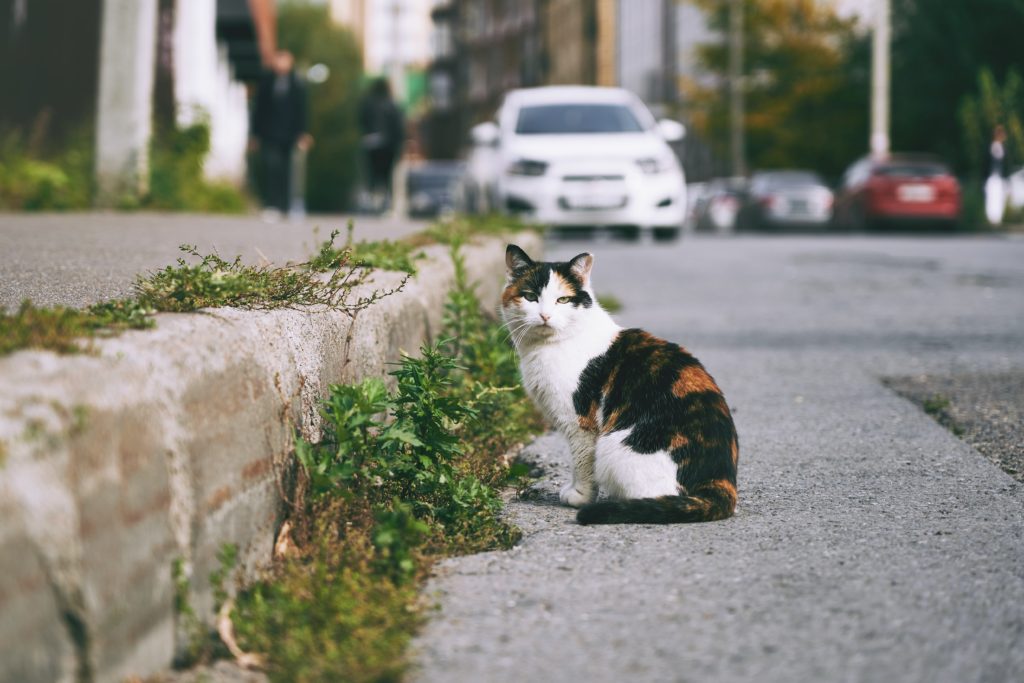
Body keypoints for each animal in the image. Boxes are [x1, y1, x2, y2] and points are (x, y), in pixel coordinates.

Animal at [501, 242, 737, 528]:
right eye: (530, 297)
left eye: (563, 300)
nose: (545, 315)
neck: (548, 347)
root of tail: (720, 479)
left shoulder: (581, 425)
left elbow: (581, 464)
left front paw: (579, 495)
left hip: (614, 447)